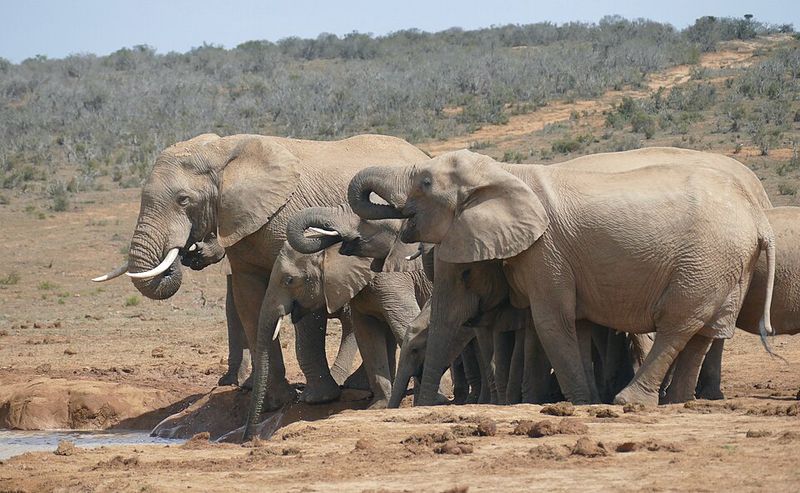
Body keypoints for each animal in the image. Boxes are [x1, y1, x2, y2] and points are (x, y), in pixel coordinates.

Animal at [93, 133, 428, 410]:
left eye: (183, 200)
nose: (189, 252)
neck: (223, 152)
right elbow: (250, 302)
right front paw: (272, 403)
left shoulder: (288, 217)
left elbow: (306, 307)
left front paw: (315, 400)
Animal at [349, 148, 776, 407]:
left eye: (424, 183)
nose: (420, 407)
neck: (506, 172)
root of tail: (758, 220)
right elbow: (576, 324)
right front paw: (580, 400)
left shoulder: (546, 251)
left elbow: (551, 321)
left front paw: (581, 403)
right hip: (725, 265)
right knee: (705, 329)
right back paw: (677, 403)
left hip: (705, 259)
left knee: (678, 323)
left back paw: (628, 401)